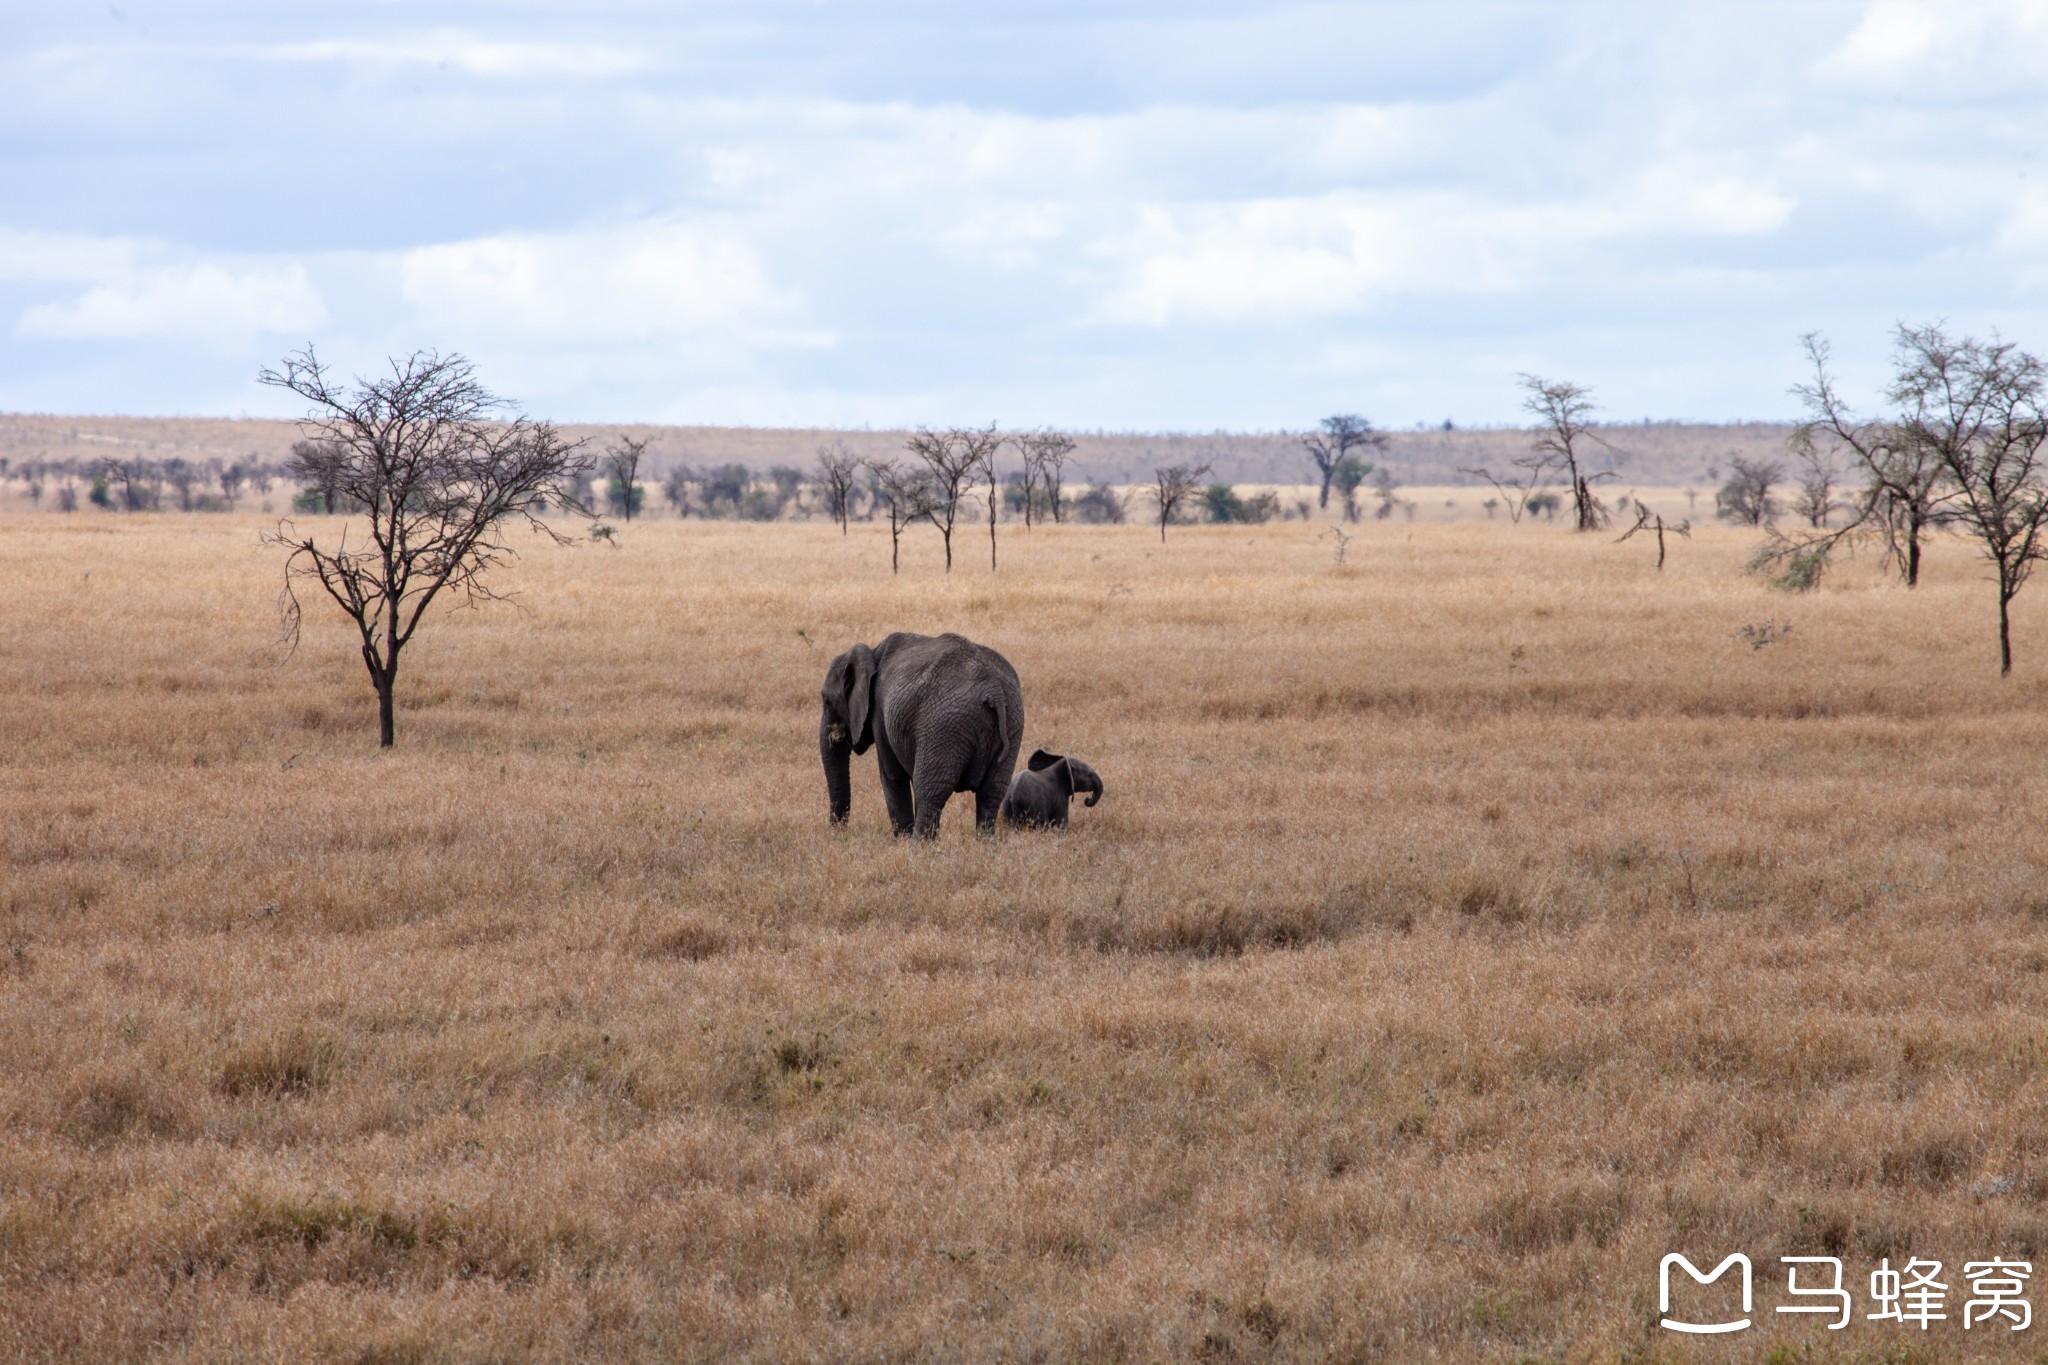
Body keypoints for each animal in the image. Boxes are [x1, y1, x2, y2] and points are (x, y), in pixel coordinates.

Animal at [815, 634, 1024, 839]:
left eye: (827, 701)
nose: (837, 834)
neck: (873, 652)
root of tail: (993, 690)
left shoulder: (880, 714)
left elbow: (892, 776)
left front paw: (902, 841)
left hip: (943, 726)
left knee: (930, 790)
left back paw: (919, 845)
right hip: (1013, 721)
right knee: (992, 791)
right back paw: (985, 843)